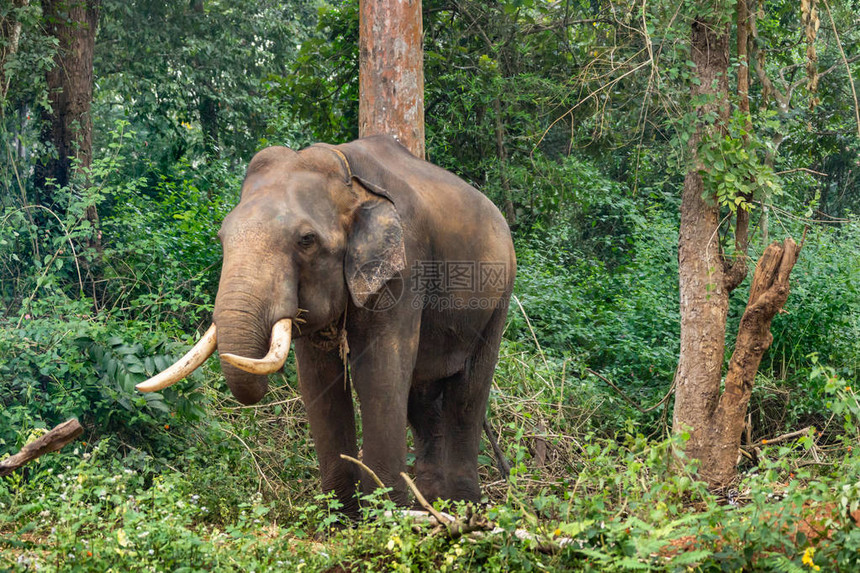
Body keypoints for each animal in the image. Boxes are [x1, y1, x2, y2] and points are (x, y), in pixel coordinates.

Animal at [139, 135, 516, 512]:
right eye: (221, 237)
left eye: (306, 240)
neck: (348, 175)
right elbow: (319, 378)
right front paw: (342, 515)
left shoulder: (405, 269)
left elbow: (379, 373)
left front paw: (387, 515)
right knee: (424, 397)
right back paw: (436, 506)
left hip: (499, 293)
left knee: (468, 392)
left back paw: (462, 506)